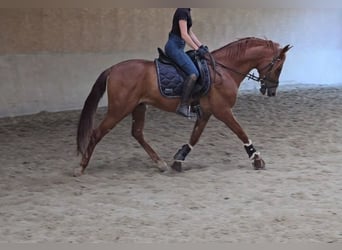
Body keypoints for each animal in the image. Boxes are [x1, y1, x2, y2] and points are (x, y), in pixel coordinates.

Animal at [75, 37, 292, 176]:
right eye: (279, 67)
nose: (271, 91)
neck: (223, 70)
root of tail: (113, 68)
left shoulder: (206, 112)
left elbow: (194, 137)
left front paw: (178, 160)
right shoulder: (222, 111)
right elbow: (241, 132)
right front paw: (257, 159)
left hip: (139, 106)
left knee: (137, 133)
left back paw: (160, 163)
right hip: (119, 109)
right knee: (97, 133)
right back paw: (81, 167)